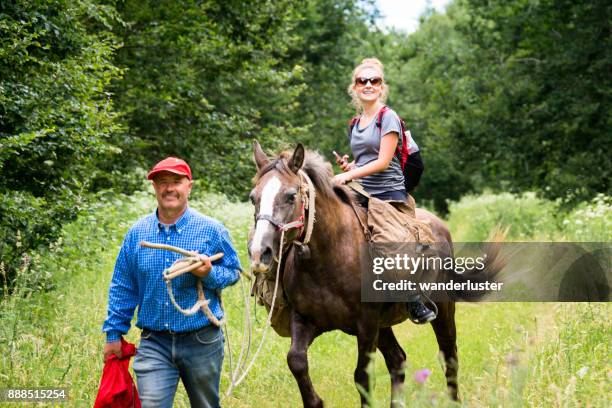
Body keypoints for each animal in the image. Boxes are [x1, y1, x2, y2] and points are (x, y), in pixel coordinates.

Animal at [246, 142, 504, 406]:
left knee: (449, 356)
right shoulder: (304, 319)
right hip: (384, 325)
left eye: (291, 196)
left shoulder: (367, 324)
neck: (329, 256)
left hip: (442, 309)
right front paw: (316, 401)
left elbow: (362, 376)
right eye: (253, 198)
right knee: (398, 359)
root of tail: (440, 226)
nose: (259, 252)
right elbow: (296, 361)